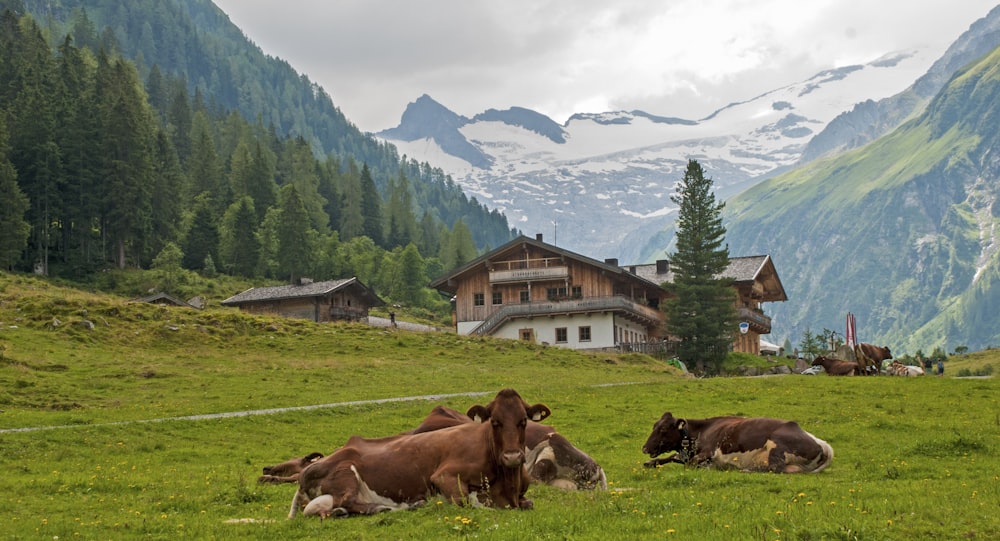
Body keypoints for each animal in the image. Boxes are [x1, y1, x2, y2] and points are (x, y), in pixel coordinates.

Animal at [640, 410, 836, 472]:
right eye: (654, 426)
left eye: (663, 429)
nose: (644, 448)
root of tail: (823, 444)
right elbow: (670, 457)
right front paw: (650, 462)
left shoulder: (709, 451)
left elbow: (692, 463)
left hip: (776, 445)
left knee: (775, 468)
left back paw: (746, 469)